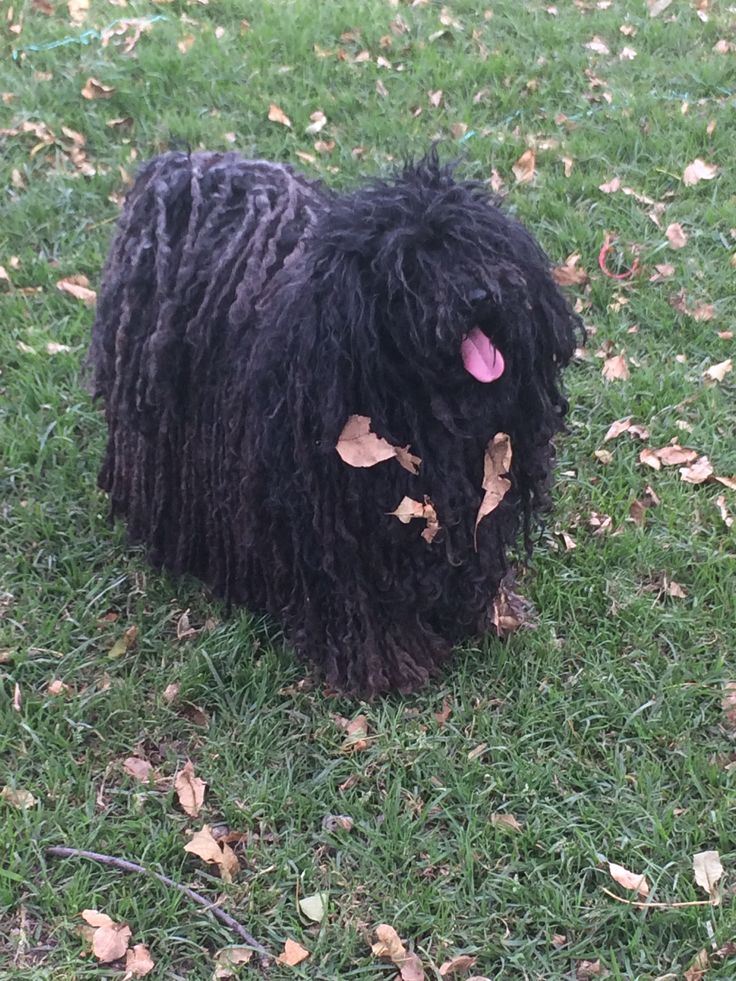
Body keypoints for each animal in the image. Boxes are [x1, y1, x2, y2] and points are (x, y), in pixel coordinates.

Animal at [87, 149, 580, 692]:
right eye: (410, 268)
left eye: (480, 245)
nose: (477, 296)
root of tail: (186, 168)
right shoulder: (343, 526)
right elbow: (364, 601)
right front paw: (391, 665)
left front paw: (487, 613)